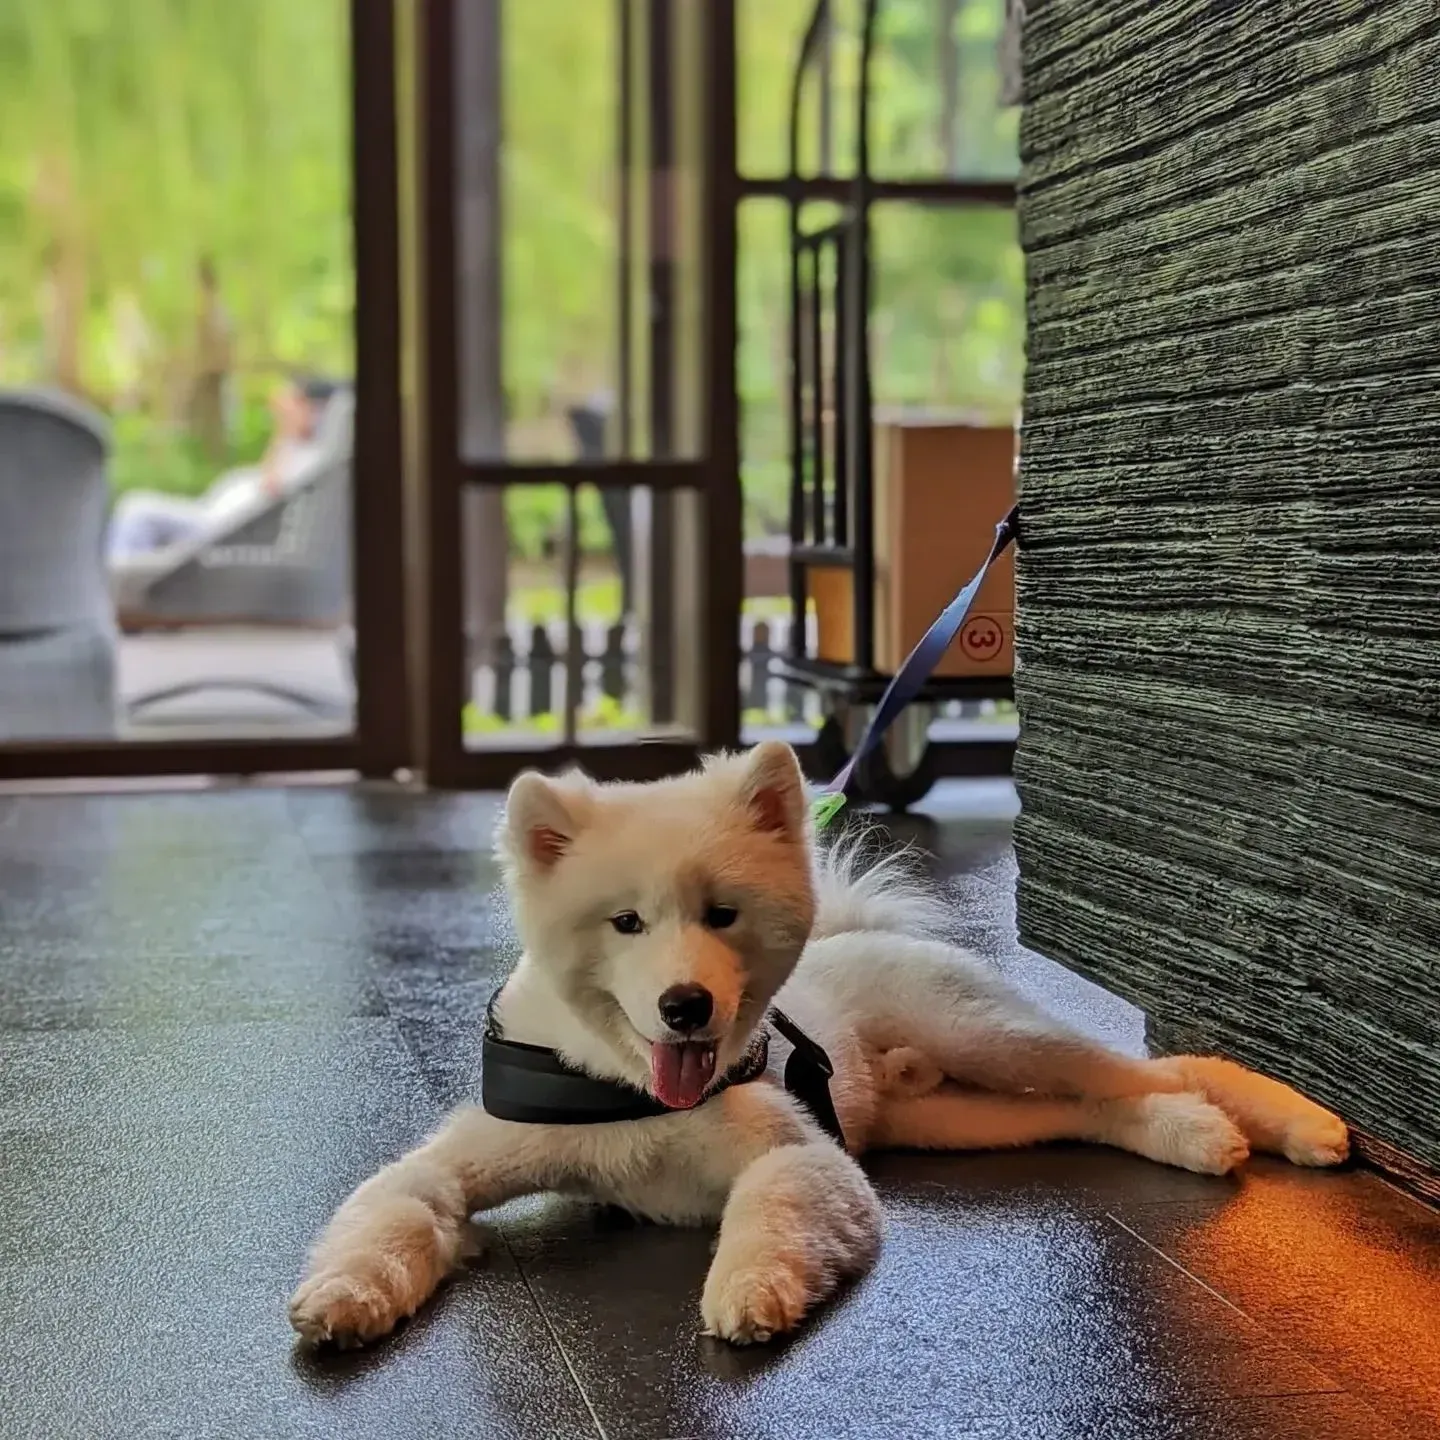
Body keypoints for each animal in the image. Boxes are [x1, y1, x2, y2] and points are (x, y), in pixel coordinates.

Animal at [289, 743, 1347, 1347]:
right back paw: (1191, 1134)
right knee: (1093, 1108)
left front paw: (751, 1291)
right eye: (625, 922)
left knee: (1155, 1066)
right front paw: (344, 1296)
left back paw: (1289, 1123)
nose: (685, 1006)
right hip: (954, 1115)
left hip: (989, 1035)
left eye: (722, 914)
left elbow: (773, 1214)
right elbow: (391, 1213)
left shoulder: (802, 1153)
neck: (631, 1093)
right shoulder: (453, 1161)